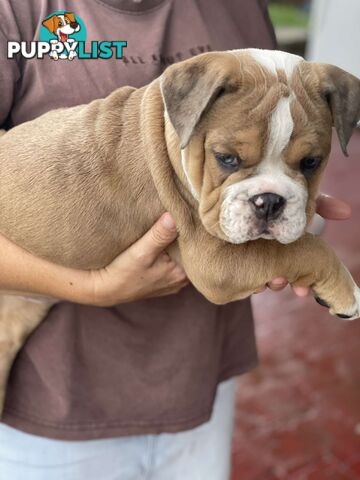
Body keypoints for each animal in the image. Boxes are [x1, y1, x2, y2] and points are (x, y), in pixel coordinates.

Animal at [0, 49, 360, 412]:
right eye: (226, 158)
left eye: (311, 163)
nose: (269, 201)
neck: (171, 138)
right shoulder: (216, 264)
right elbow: (303, 249)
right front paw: (348, 291)